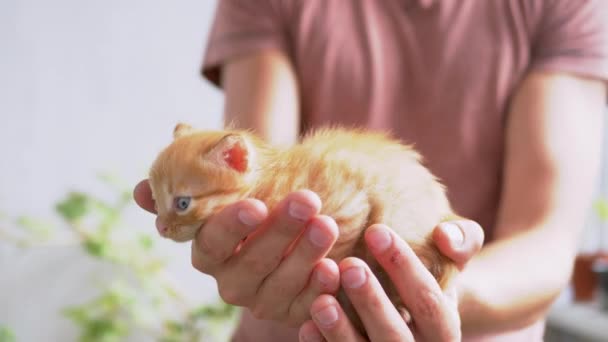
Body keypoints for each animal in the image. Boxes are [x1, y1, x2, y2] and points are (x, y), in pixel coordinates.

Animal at [150, 122, 458, 334]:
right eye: (155, 199)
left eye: (182, 203)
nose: (161, 227)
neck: (269, 182)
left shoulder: (349, 207)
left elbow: (342, 251)